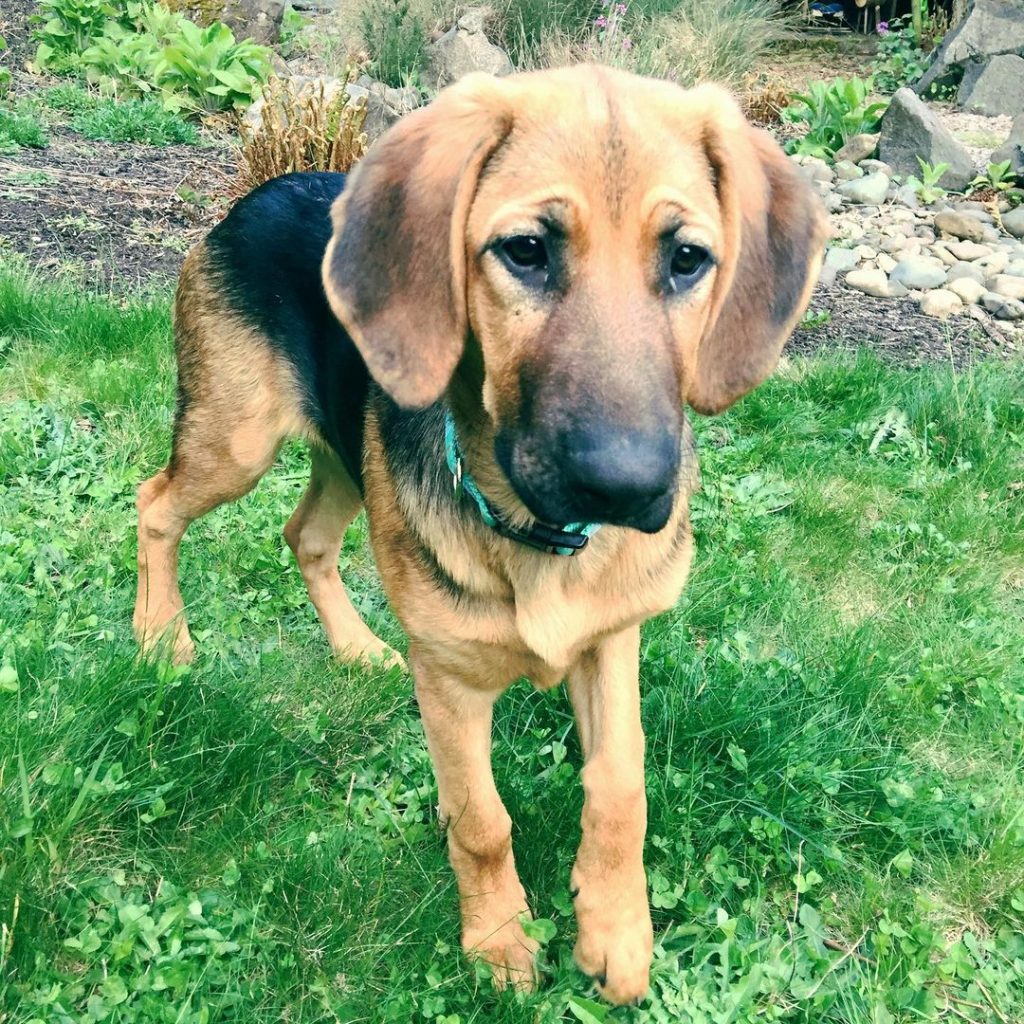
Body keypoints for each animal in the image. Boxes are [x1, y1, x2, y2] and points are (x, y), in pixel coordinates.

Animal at [132, 66, 827, 1007]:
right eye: (526, 250)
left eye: (687, 259)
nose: (631, 487)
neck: (543, 544)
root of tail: (263, 190)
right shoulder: (451, 684)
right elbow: (481, 820)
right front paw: (500, 939)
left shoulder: (612, 642)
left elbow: (621, 785)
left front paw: (615, 927)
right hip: (235, 438)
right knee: (154, 503)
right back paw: (160, 637)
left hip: (346, 458)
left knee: (304, 535)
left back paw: (354, 646)